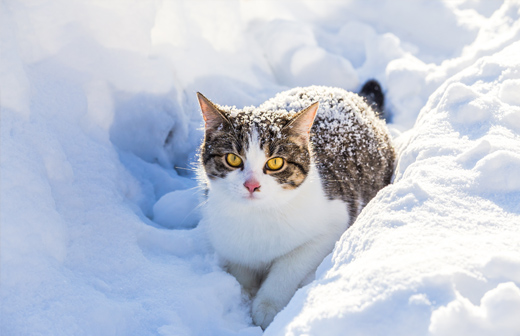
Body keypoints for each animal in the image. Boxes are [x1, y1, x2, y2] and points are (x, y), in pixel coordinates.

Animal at [195, 80, 394, 328]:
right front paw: (244, 294)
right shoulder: (224, 234)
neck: (258, 216)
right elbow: (240, 265)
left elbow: (291, 264)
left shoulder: (333, 220)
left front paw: (266, 307)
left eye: (275, 163)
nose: (251, 185)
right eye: (232, 159)